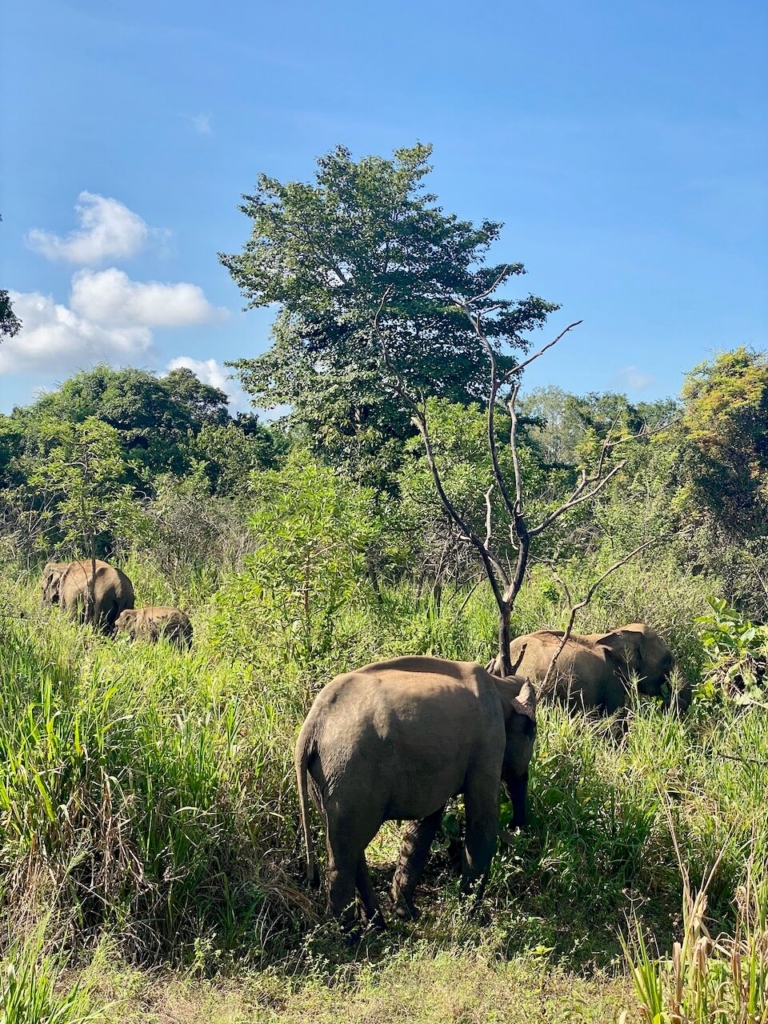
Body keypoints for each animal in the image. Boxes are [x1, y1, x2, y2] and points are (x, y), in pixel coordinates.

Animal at [296, 655, 536, 929]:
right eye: (532, 733)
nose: (518, 828)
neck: (501, 685)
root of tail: (311, 728)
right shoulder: (489, 740)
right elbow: (482, 818)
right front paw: (474, 919)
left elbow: (426, 822)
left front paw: (405, 912)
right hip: (349, 772)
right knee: (344, 853)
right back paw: (349, 934)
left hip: (325, 778)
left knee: (348, 844)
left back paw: (377, 925)